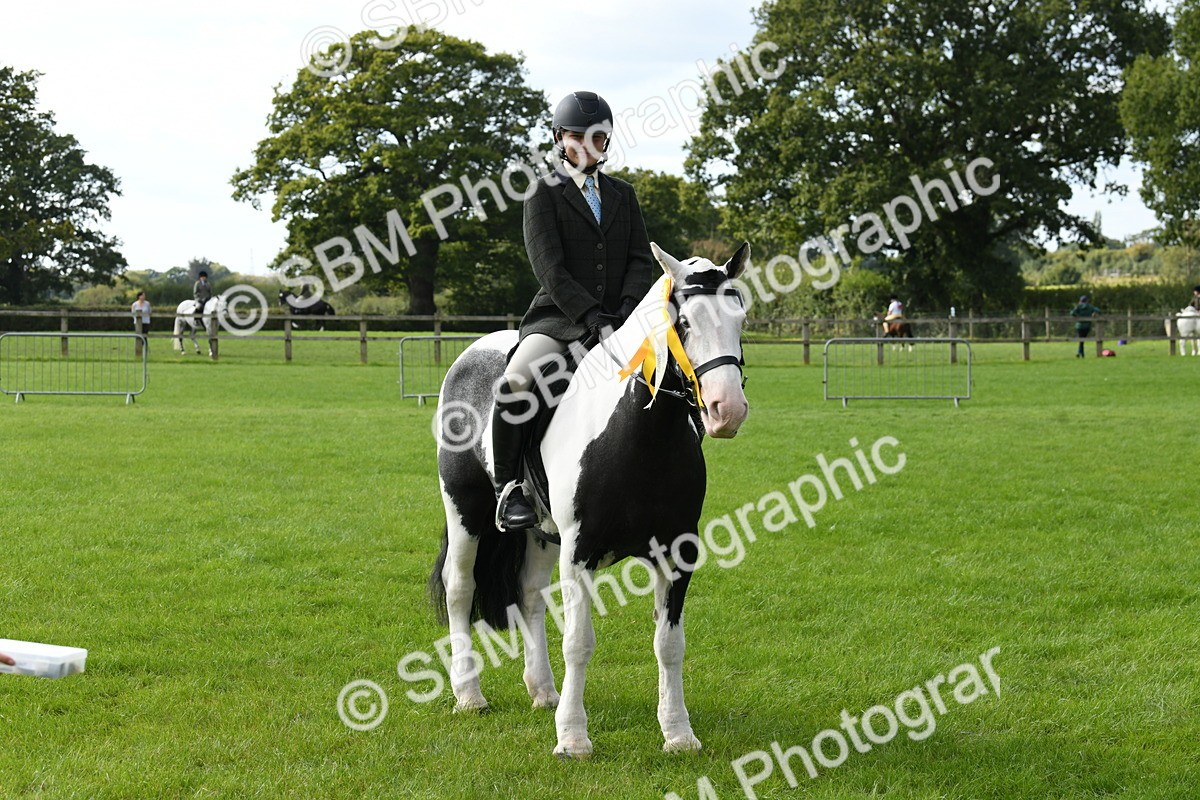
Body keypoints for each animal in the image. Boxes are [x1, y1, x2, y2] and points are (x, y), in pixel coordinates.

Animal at [430, 242, 750, 758]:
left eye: (740, 317)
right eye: (683, 322)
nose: (728, 410)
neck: (641, 434)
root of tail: (472, 354)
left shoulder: (678, 553)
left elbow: (669, 644)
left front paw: (678, 733)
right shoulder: (579, 553)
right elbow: (579, 641)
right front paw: (573, 738)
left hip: (540, 533)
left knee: (529, 594)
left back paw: (543, 690)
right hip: (465, 509)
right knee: (460, 588)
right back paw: (469, 694)